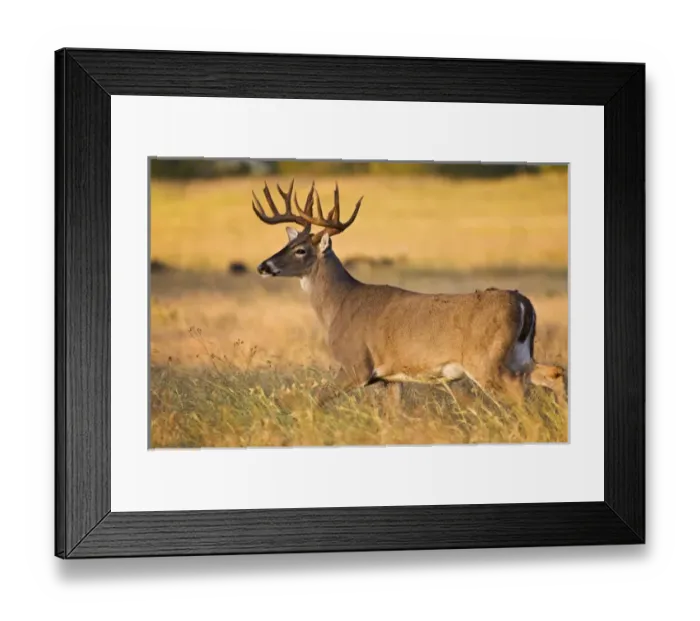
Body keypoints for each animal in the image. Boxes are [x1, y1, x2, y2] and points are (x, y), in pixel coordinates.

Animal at [252, 180, 567, 409]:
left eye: (300, 250)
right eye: (289, 243)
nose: (263, 266)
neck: (339, 305)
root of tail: (524, 302)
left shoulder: (356, 365)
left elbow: (314, 400)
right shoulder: (390, 378)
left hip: (486, 359)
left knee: (517, 388)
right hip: (519, 353)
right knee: (553, 373)